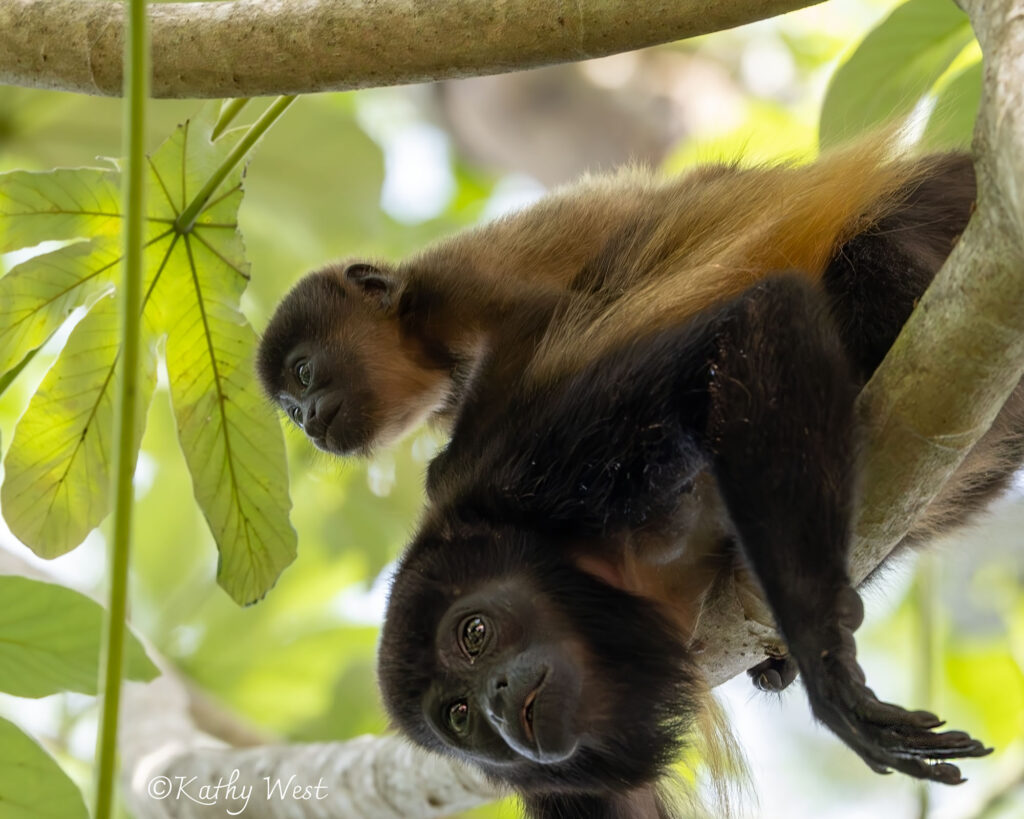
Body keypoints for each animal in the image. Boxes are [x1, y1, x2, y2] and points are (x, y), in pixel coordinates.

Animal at [368, 150, 1024, 819]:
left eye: (473, 634)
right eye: (459, 715)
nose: (498, 700)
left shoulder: (550, 461)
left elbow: (757, 319)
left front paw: (822, 658)